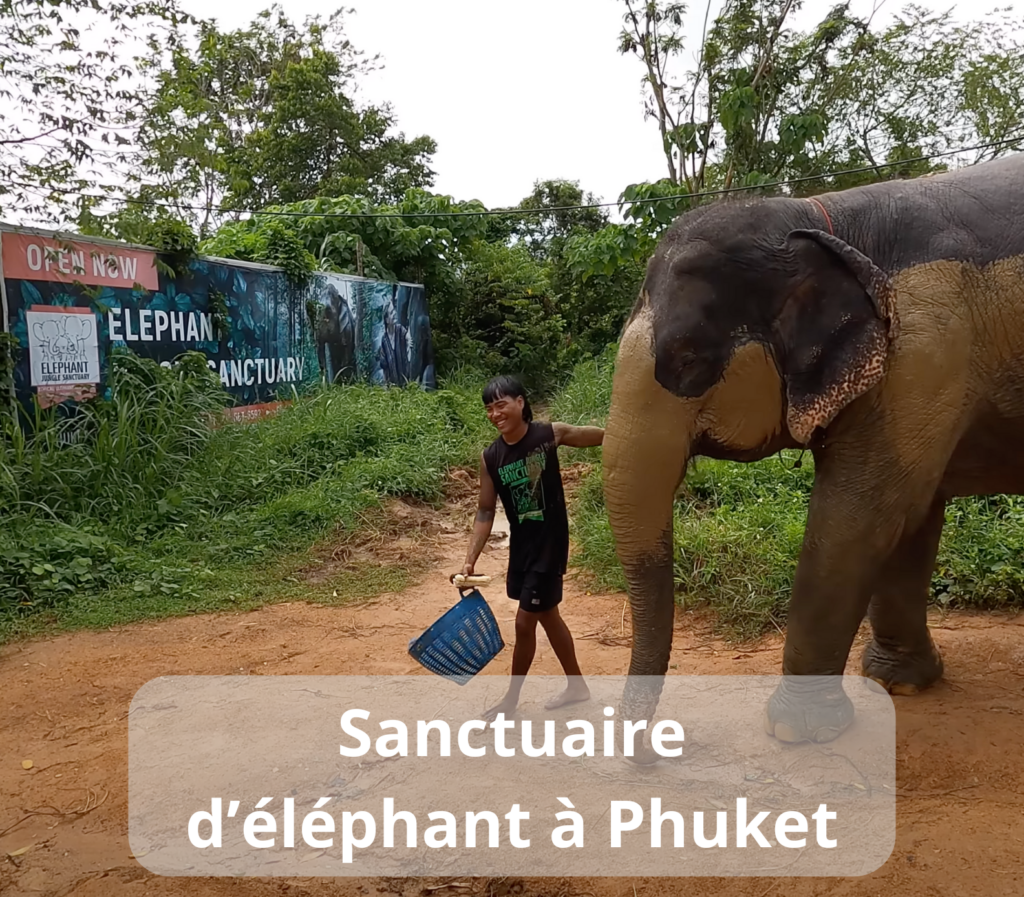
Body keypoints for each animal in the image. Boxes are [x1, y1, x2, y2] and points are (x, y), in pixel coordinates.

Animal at [602, 152, 1024, 757]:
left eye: (685, 360)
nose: (652, 755)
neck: (824, 218)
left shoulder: (927, 345)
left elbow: (861, 514)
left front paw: (797, 731)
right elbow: (913, 513)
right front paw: (897, 684)